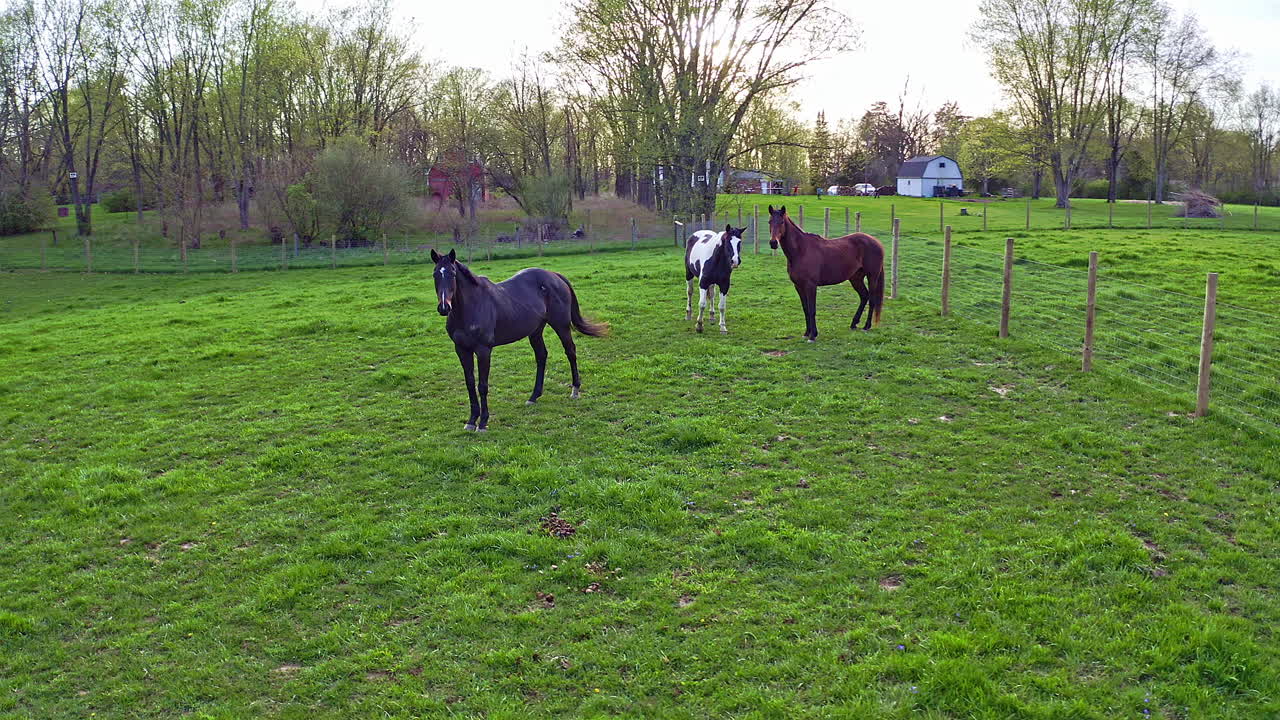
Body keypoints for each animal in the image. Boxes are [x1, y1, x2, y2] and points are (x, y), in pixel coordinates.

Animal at [431, 248, 608, 431]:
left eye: (452, 273)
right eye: (435, 274)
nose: (444, 307)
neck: (470, 308)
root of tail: (555, 276)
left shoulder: (483, 350)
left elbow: (482, 385)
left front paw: (483, 422)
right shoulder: (461, 349)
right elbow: (470, 383)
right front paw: (472, 421)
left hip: (561, 325)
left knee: (570, 352)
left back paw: (575, 390)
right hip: (536, 331)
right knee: (541, 356)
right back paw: (534, 396)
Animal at [766, 205, 884, 341]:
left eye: (781, 222)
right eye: (769, 221)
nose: (773, 243)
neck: (801, 251)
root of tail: (876, 242)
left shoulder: (811, 286)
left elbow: (812, 310)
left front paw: (813, 335)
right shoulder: (799, 286)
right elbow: (806, 309)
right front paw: (807, 333)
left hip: (872, 276)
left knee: (872, 299)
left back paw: (866, 326)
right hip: (856, 278)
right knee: (864, 296)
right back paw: (854, 323)